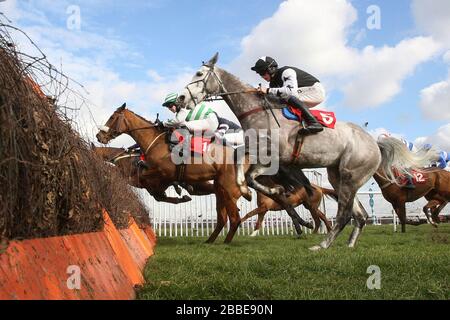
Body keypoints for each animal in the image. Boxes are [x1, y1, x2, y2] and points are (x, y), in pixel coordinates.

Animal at [178, 53, 438, 251]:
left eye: (199, 75)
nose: (181, 97)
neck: (257, 111)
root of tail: (374, 142)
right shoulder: (257, 152)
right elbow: (243, 169)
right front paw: (248, 189)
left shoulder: (273, 157)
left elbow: (252, 176)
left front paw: (271, 191)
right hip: (338, 176)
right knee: (359, 214)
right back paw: (348, 245)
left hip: (351, 175)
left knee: (344, 214)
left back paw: (322, 245)